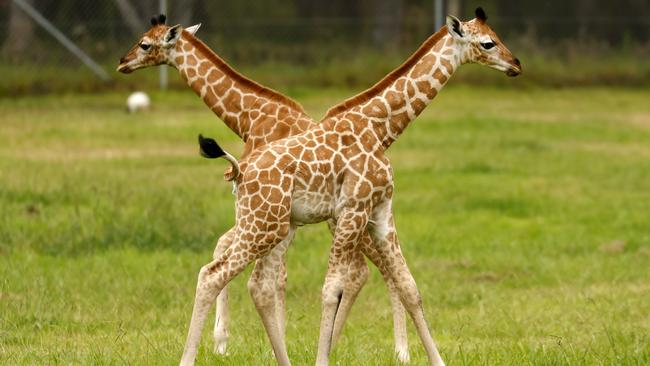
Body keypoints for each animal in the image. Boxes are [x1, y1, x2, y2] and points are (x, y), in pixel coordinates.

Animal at [116, 13, 410, 360]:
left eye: (145, 44)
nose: (122, 63)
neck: (249, 117)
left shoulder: (265, 212)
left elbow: (268, 274)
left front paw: (240, 344)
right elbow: (237, 256)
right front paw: (232, 342)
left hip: (346, 220)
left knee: (379, 270)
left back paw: (401, 351)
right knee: (369, 270)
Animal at [180, 7, 520, 366]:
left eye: (496, 37)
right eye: (487, 43)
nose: (516, 64)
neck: (378, 127)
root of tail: (239, 171)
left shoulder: (381, 211)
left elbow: (409, 286)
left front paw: (435, 360)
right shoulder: (354, 210)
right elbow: (332, 289)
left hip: (273, 227)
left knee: (254, 282)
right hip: (263, 226)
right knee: (213, 274)